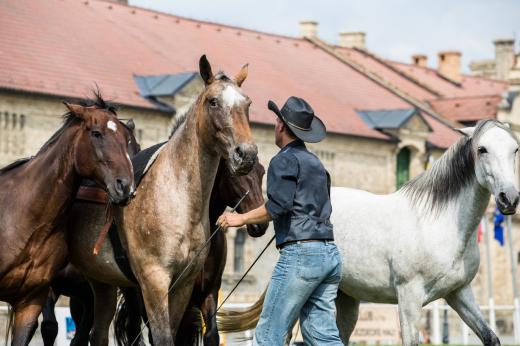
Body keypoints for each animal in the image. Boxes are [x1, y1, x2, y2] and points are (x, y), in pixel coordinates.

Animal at [67, 55, 258, 344]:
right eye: (213, 101)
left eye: (247, 103)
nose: (245, 154)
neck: (177, 199)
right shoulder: (154, 283)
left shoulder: (184, 286)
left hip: (102, 284)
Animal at [218, 119, 520, 346]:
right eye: (482, 149)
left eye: (515, 149)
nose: (509, 199)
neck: (440, 223)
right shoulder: (409, 297)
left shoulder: (459, 293)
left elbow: (490, 337)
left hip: (344, 298)